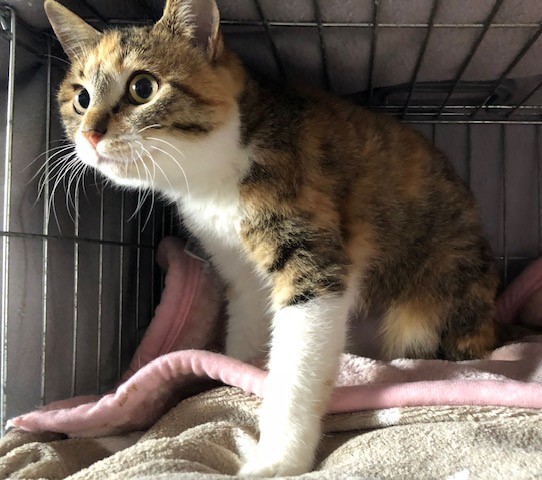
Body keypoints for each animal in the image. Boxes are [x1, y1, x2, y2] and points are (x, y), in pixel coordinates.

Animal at [45, 0, 498, 476]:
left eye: (142, 87)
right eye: (80, 97)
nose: (91, 133)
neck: (214, 179)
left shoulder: (313, 256)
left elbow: (297, 360)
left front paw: (278, 457)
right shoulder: (236, 268)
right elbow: (244, 324)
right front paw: (233, 377)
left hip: (426, 310)